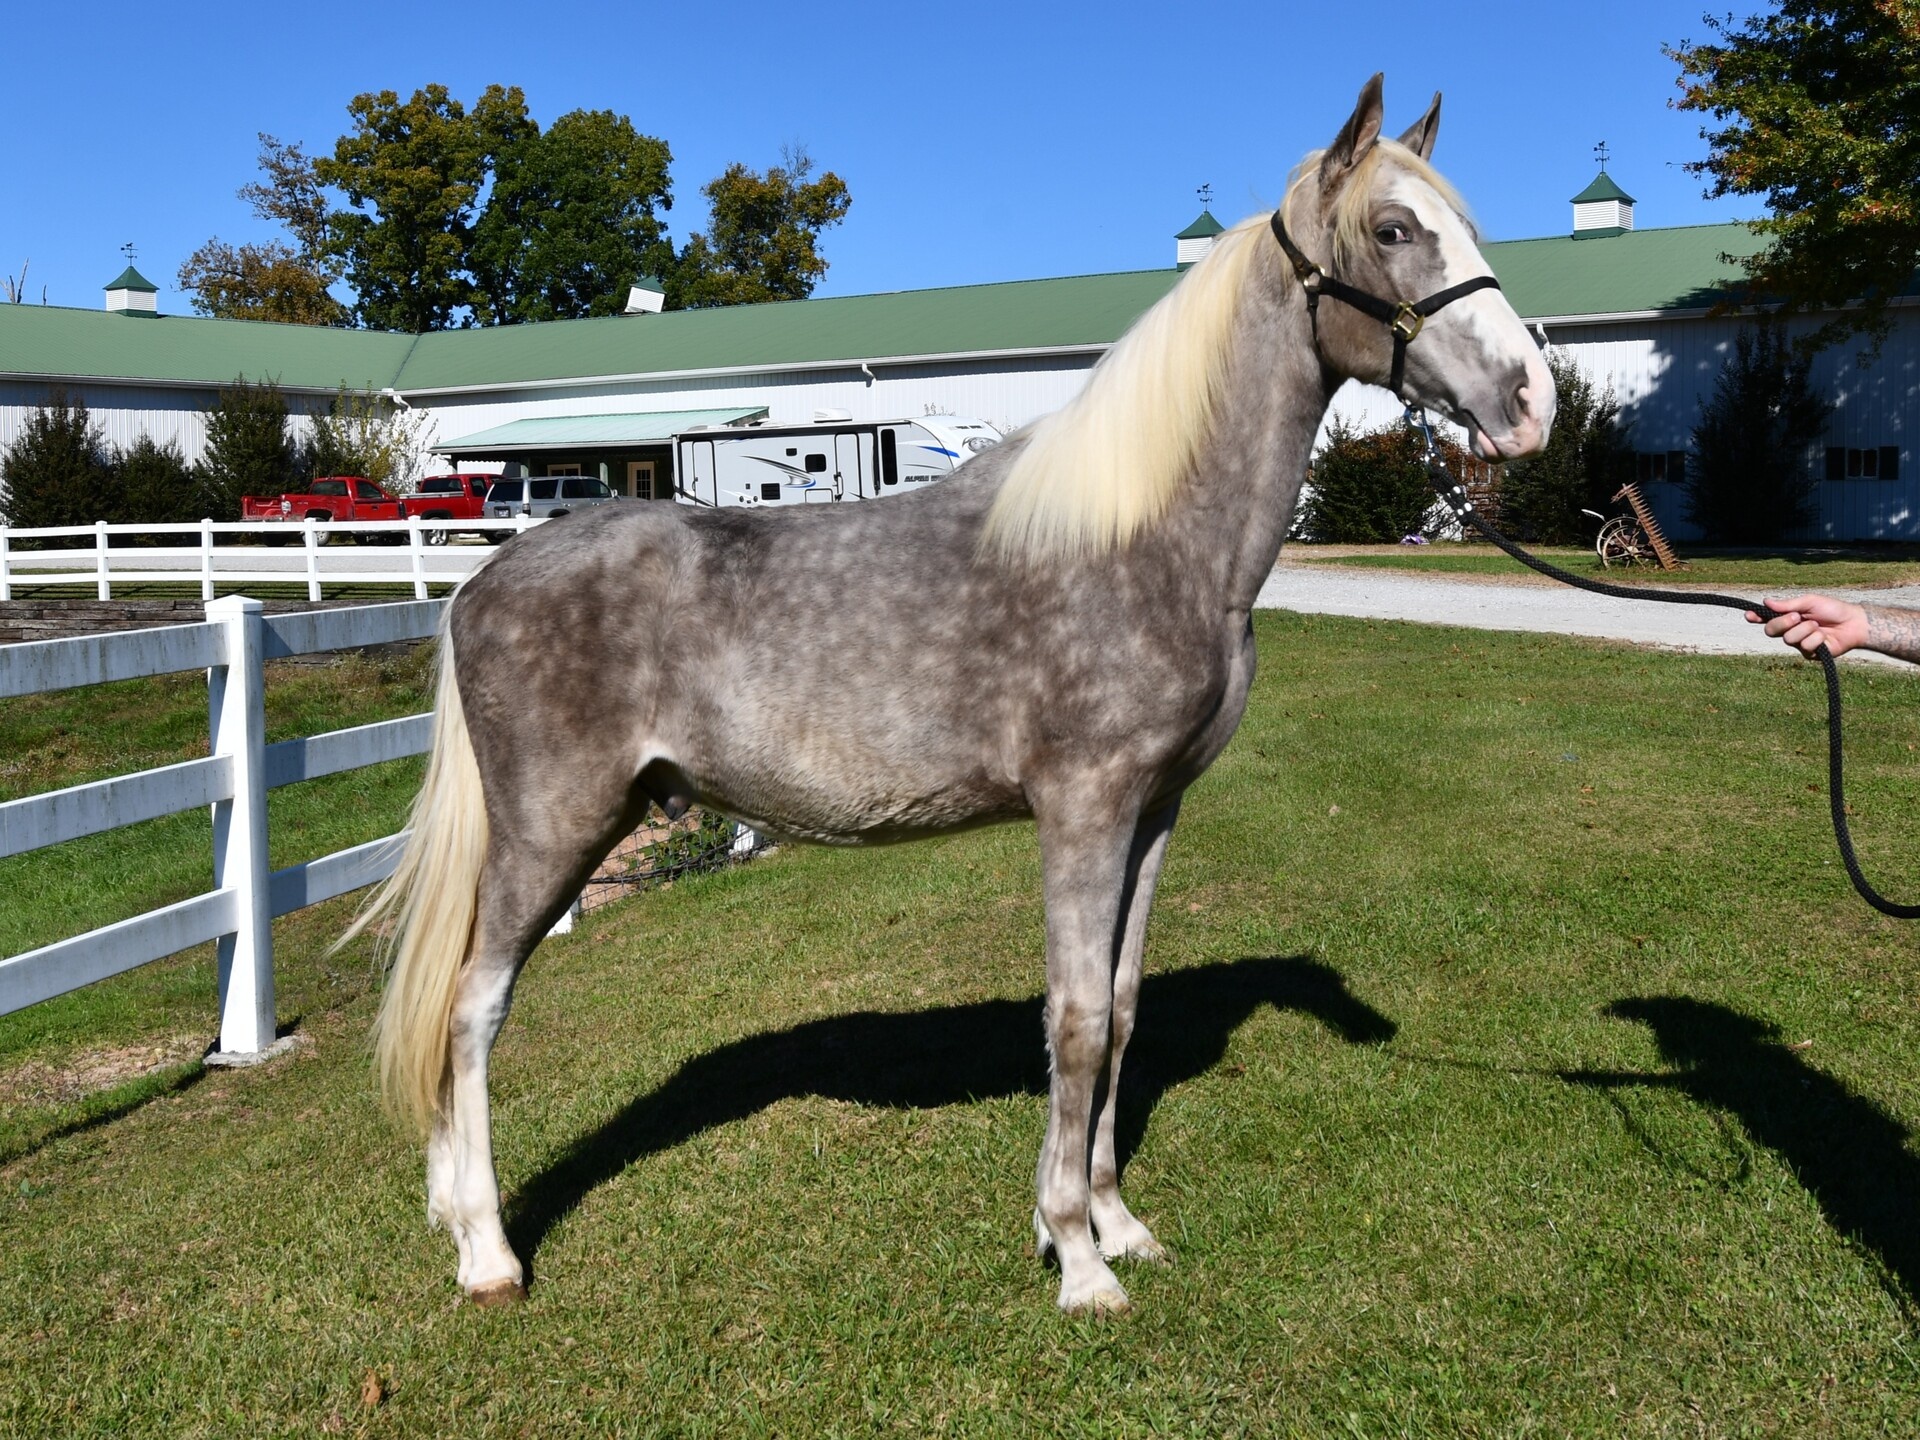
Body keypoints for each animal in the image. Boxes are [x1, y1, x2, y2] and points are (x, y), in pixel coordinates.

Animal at [350, 74, 1555, 1315]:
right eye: (1395, 230)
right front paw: (1077, 1257)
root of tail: (475, 585)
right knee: (472, 1007)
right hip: (555, 831)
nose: (1533, 399)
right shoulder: (1083, 809)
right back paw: (488, 1253)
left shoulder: (1155, 812)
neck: (1152, 538)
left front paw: (1120, 1224)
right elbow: (1075, 1021)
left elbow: (1124, 1007)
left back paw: (453, 1217)